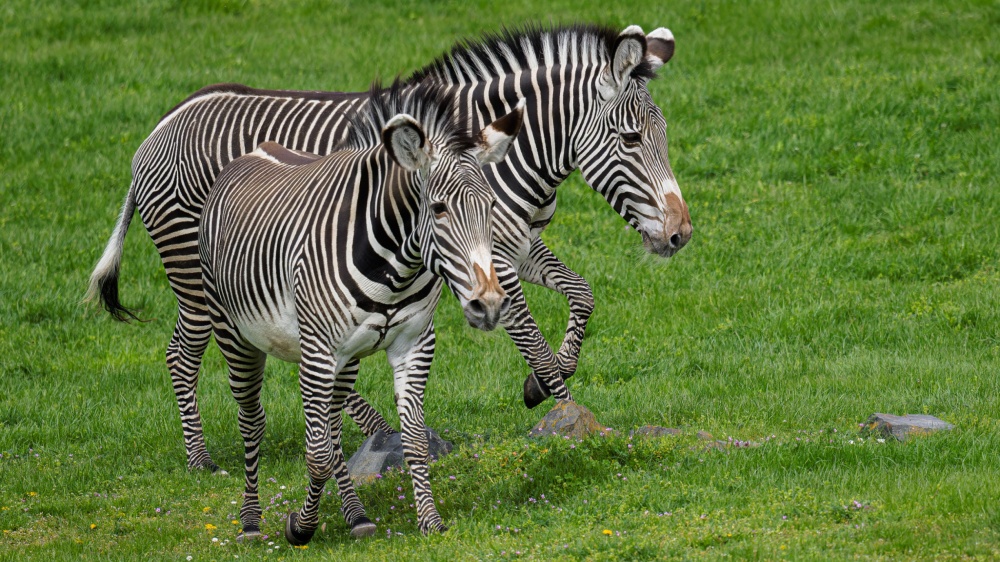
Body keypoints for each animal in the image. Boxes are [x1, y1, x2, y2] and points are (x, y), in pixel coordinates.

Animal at [88, 24, 688, 470]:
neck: (513, 152)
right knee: (182, 354)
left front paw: (544, 386)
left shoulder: (515, 244)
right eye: (632, 139)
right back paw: (203, 461)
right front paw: (571, 419)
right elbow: (530, 337)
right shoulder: (487, 258)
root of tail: (161, 125)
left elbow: (583, 296)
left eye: (663, 136)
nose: (680, 234)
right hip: (199, 276)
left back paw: (377, 432)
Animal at [198, 81, 524, 540]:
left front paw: (430, 521)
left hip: (346, 358)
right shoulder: (318, 351)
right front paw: (300, 527)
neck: (395, 266)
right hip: (235, 335)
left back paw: (357, 515)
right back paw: (250, 522)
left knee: (333, 428)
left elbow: (413, 440)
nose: (490, 304)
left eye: (492, 207)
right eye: (439, 209)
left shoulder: (414, 344)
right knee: (253, 421)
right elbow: (315, 454)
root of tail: (255, 151)